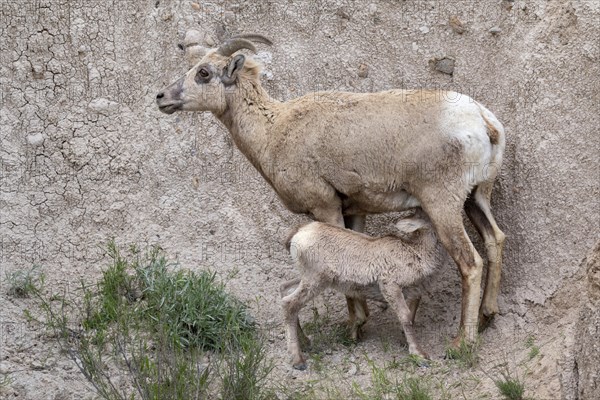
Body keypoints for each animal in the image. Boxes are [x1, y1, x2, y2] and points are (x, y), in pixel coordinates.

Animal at [156, 34, 506, 344]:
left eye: (203, 73)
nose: (161, 98)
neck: (273, 132)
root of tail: (484, 122)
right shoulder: (355, 210)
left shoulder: (324, 205)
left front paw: (354, 326)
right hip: (477, 197)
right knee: (495, 239)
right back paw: (487, 316)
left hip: (442, 203)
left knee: (470, 263)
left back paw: (463, 342)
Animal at [282, 209, 440, 368]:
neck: (417, 254)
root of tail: (298, 233)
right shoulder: (390, 286)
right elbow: (405, 316)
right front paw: (420, 355)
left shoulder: (413, 293)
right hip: (316, 280)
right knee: (289, 304)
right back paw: (298, 360)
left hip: (307, 278)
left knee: (285, 288)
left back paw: (305, 343)